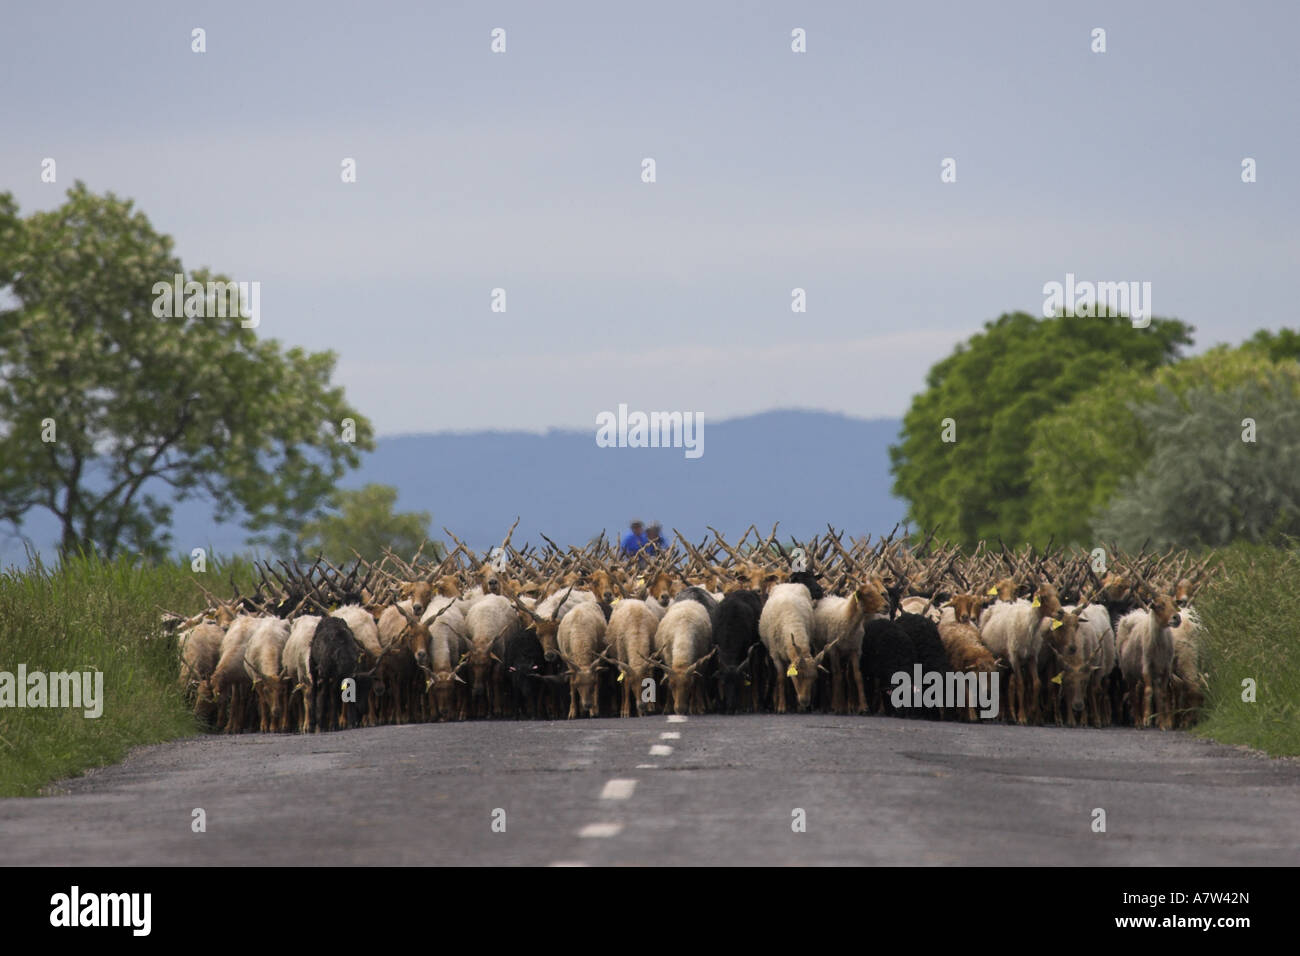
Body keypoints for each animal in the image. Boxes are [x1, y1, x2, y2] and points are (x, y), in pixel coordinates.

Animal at [759, 580, 826, 712]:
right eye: (798, 676)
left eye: (814, 678)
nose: (805, 702)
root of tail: (789, 583)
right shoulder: (776, 656)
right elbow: (781, 678)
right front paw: (781, 707)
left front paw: (797, 706)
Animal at [811, 580, 894, 712]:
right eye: (868, 594)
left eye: (879, 592)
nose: (887, 606)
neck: (848, 618)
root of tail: (829, 596)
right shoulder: (834, 650)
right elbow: (837, 675)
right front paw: (837, 706)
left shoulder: (855, 650)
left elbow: (857, 676)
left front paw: (863, 707)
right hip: (819, 647)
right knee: (827, 674)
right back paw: (826, 705)